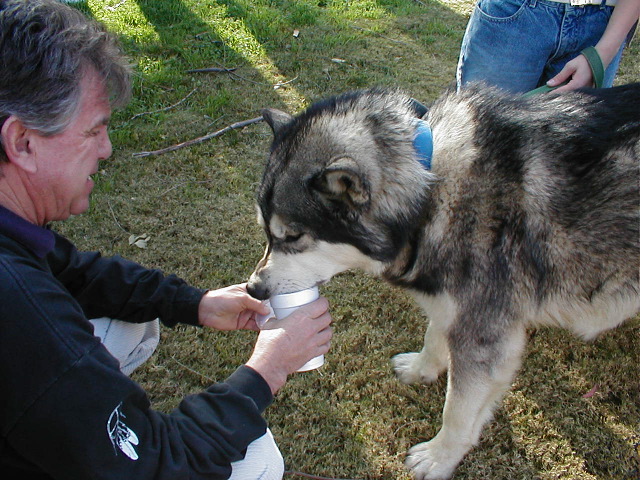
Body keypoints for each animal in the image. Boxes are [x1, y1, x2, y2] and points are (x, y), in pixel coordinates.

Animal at [246, 84, 640, 479]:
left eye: (293, 236)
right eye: (265, 230)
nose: (253, 288)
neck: (429, 189)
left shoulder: (485, 338)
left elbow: (458, 412)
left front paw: (439, 457)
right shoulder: (448, 302)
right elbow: (434, 335)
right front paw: (423, 369)